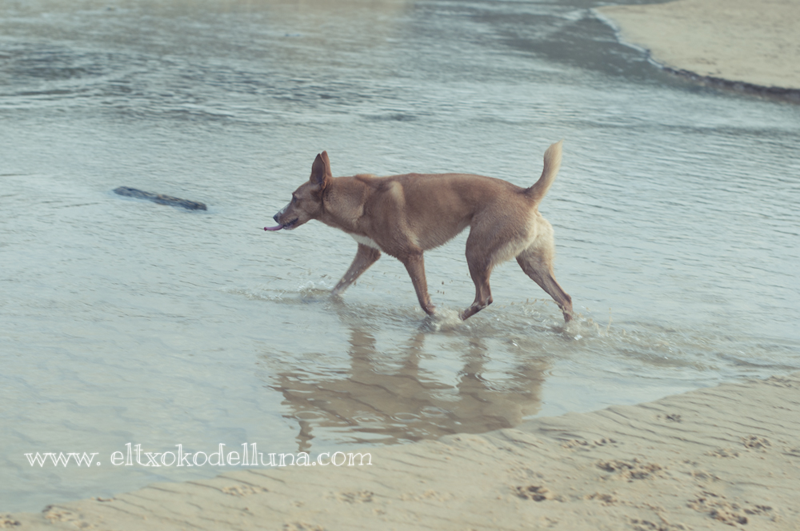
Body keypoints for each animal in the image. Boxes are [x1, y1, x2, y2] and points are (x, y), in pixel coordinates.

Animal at [265, 141, 573, 322]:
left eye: (294, 198)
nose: (275, 216)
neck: (362, 200)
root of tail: (526, 194)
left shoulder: (412, 255)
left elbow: (424, 300)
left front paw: (436, 315)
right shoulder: (368, 253)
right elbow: (337, 287)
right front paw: (318, 298)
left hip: (476, 251)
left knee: (483, 297)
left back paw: (452, 320)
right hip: (532, 263)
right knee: (564, 299)